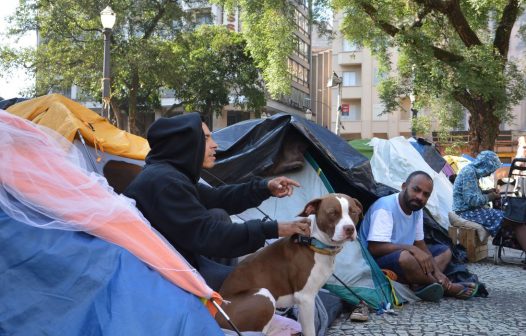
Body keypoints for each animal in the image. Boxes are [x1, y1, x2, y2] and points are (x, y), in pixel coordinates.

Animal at [218, 194, 364, 336]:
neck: (314, 243)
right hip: (263, 295)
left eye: (354, 212)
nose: (349, 229)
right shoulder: (306, 298)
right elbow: (310, 331)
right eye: (332, 213)